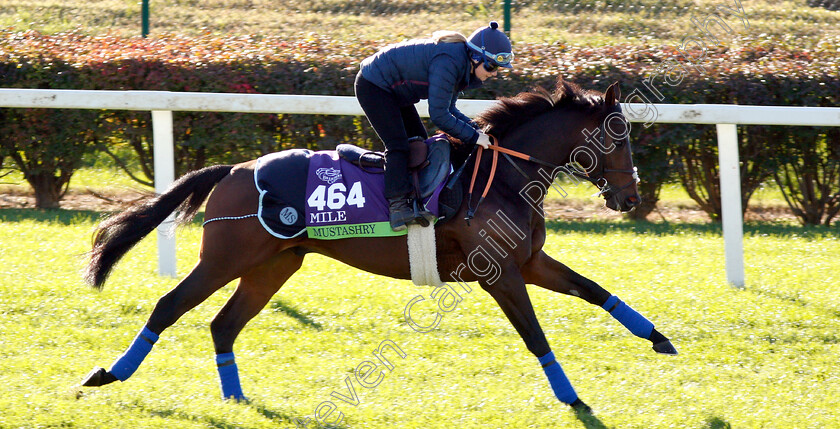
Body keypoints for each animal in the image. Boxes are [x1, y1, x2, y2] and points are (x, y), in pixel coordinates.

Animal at [82, 79, 680, 414]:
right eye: (619, 137)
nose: (630, 197)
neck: (504, 176)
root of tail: (233, 168)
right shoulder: (500, 273)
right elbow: (535, 336)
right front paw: (572, 397)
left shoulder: (529, 262)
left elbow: (594, 289)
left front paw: (659, 338)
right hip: (225, 259)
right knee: (169, 306)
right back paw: (108, 373)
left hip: (272, 266)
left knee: (224, 325)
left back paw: (235, 400)